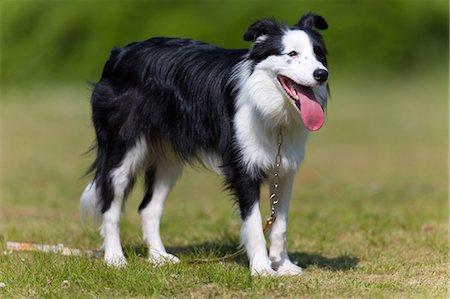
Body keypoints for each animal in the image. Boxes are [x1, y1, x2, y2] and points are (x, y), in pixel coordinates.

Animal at [80, 13, 326, 276]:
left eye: (319, 53)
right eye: (292, 53)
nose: (322, 74)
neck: (269, 103)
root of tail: (119, 53)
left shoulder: (285, 170)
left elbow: (280, 223)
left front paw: (284, 266)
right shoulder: (242, 169)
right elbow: (253, 223)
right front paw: (261, 269)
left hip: (168, 158)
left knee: (148, 208)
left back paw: (159, 257)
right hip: (123, 148)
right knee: (110, 202)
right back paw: (115, 258)